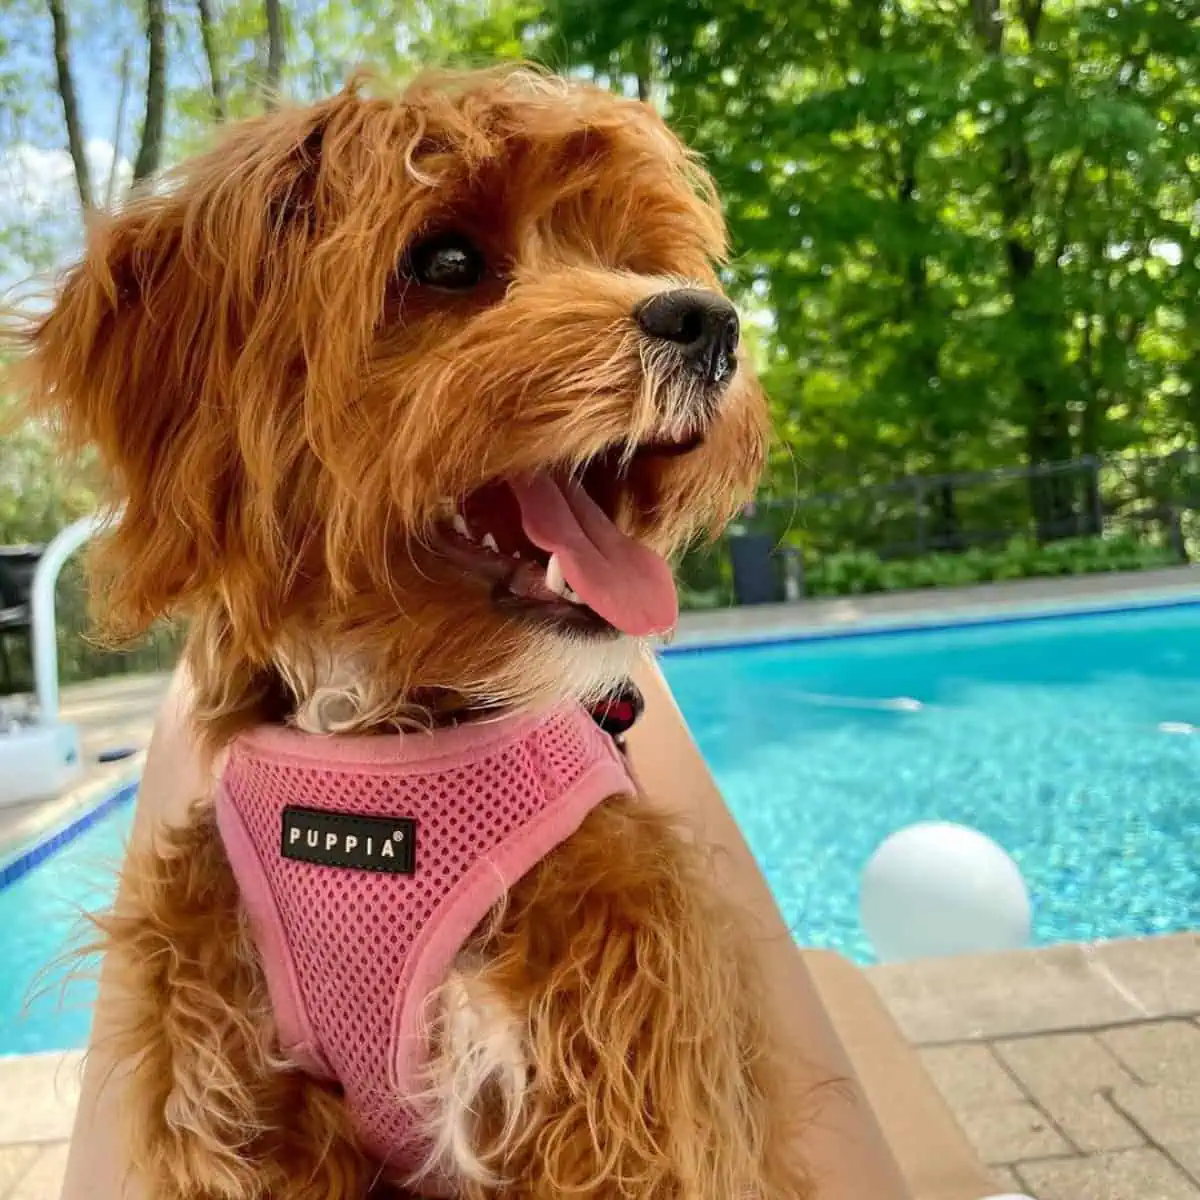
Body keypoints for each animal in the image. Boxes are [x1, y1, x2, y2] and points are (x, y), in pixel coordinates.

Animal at [11, 68, 806, 1200]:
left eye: (635, 255)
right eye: (448, 262)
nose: (712, 321)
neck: (386, 731)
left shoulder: (624, 1073)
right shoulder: (234, 1090)